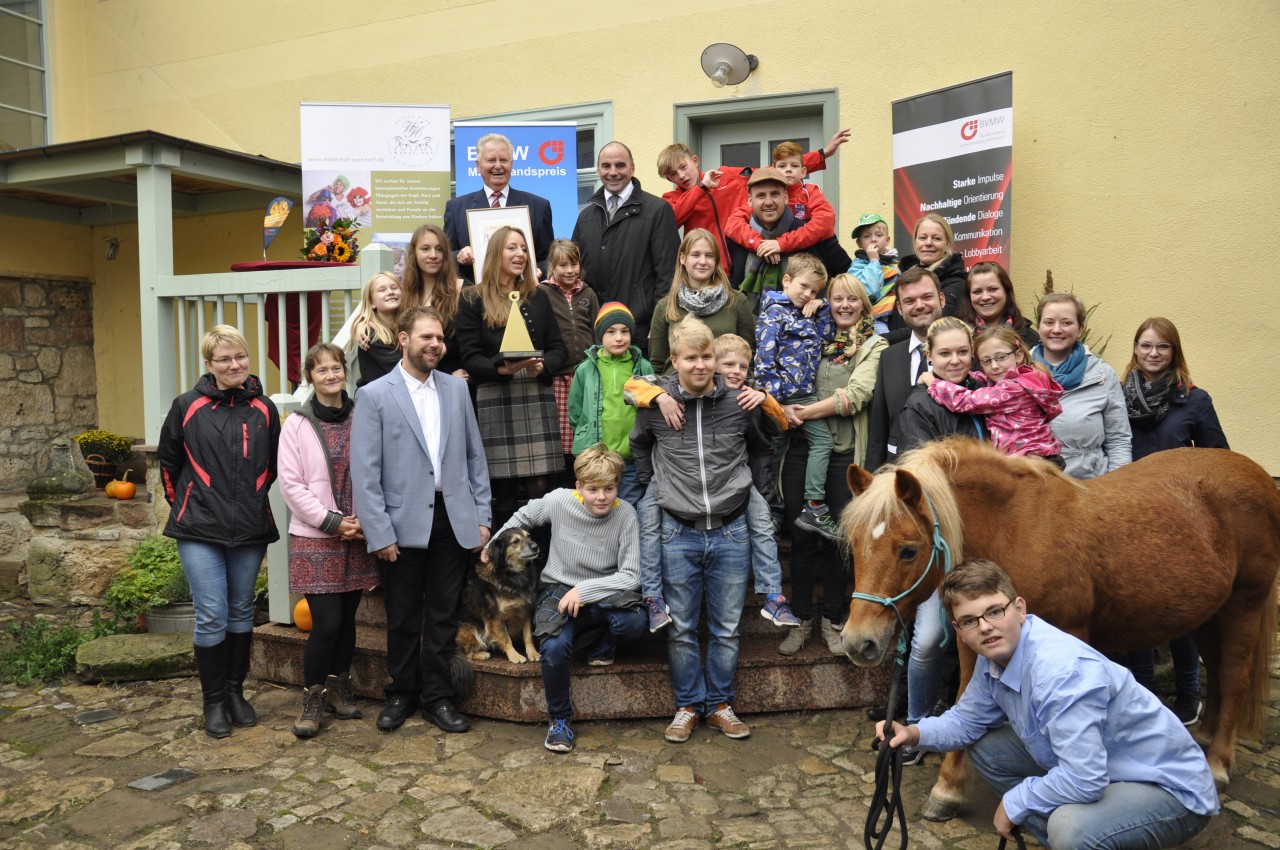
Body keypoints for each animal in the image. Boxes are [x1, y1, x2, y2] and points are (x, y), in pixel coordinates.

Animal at [455, 524, 540, 665]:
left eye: (529, 536)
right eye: (516, 541)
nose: (536, 546)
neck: (514, 575)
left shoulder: (526, 610)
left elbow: (528, 636)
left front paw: (532, 653)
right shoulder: (495, 617)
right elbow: (505, 638)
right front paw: (515, 656)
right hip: (470, 629)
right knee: (466, 654)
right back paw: (482, 654)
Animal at [839, 437, 1280, 819]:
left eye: (908, 550)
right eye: (856, 545)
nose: (858, 642)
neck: (1015, 530)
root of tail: (1258, 474)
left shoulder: (1072, 636)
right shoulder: (971, 642)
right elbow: (964, 701)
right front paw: (948, 789)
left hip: (1243, 605)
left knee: (1235, 675)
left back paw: (1218, 763)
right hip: (1210, 613)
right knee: (1218, 673)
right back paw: (1203, 737)